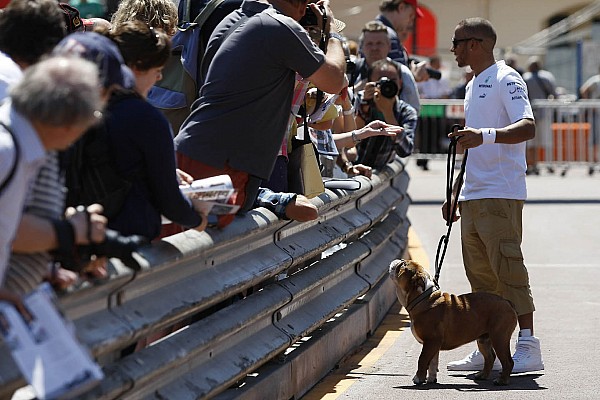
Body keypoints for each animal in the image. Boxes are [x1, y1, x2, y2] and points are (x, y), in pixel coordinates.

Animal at [390, 258, 516, 386]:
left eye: (403, 265)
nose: (400, 259)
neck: (422, 298)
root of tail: (507, 302)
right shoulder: (433, 344)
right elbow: (432, 362)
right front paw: (431, 379)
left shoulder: (431, 341)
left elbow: (423, 359)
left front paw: (418, 378)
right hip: (483, 340)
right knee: (490, 357)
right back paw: (482, 375)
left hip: (499, 338)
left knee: (508, 361)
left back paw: (502, 380)